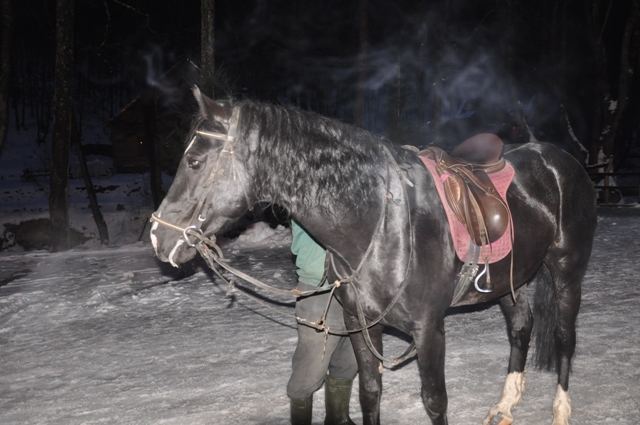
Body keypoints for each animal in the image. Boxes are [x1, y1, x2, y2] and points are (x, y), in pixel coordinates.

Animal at [150, 87, 597, 425]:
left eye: (194, 161)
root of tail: (558, 159)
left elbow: (434, 401)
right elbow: (368, 392)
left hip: (566, 272)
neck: (380, 224)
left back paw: (560, 411)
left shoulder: (429, 331)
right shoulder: (359, 323)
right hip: (509, 282)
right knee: (520, 329)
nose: (157, 235)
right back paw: (504, 407)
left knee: (564, 337)